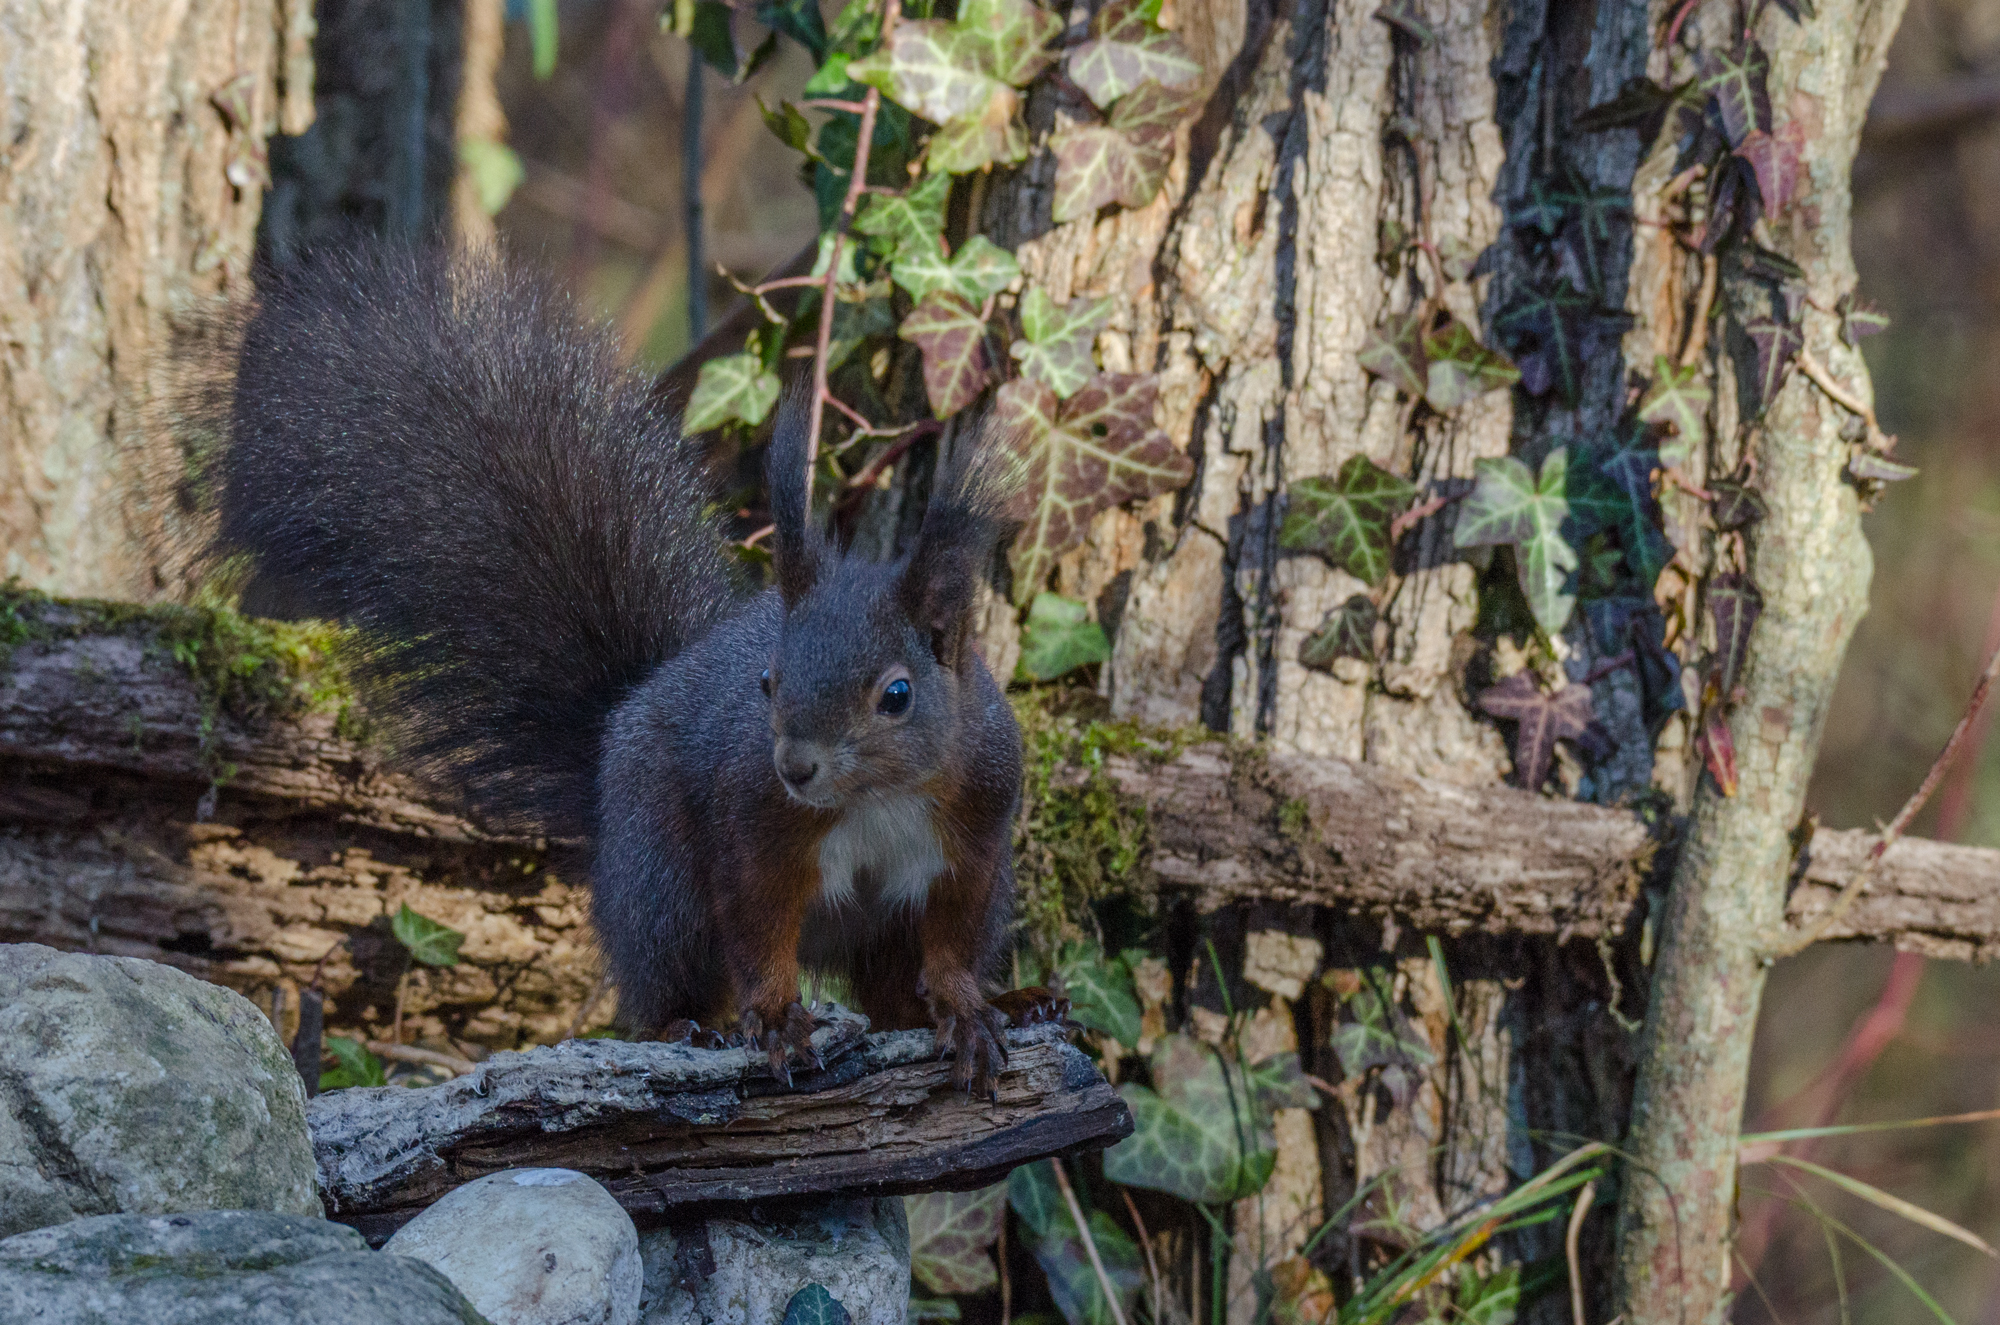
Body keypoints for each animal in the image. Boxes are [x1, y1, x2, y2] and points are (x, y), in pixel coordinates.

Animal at [192, 243, 1059, 1093]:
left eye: (898, 694)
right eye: (768, 681)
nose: (796, 766)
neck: (875, 799)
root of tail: (618, 721)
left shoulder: (978, 836)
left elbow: (950, 945)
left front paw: (966, 1008)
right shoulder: (756, 830)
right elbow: (759, 932)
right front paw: (778, 1018)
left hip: (926, 912)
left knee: (891, 994)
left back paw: (1018, 998)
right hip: (660, 883)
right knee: (671, 978)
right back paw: (689, 1027)